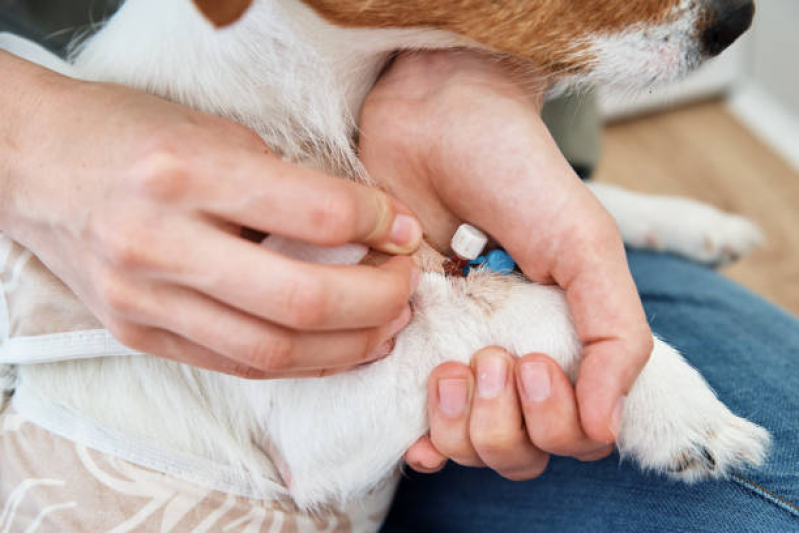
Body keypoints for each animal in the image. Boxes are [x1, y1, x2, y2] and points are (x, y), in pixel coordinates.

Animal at [1, 0, 776, 528]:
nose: (737, 19)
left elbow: (580, 213)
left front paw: (697, 223)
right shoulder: (297, 413)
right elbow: (522, 304)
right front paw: (676, 404)